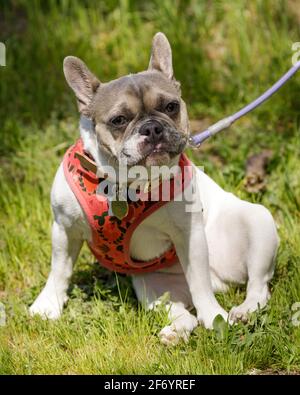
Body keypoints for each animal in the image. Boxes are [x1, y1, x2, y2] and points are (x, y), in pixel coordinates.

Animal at [29, 32, 278, 344]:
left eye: (171, 106)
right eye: (119, 120)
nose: (152, 128)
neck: (125, 182)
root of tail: (221, 281)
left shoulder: (189, 235)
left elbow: (199, 283)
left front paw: (214, 317)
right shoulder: (64, 228)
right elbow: (59, 269)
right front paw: (48, 303)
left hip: (258, 224)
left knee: (257, 286)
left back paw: (242, 311)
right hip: (150, 287)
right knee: (181, 311)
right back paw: (176, 332)